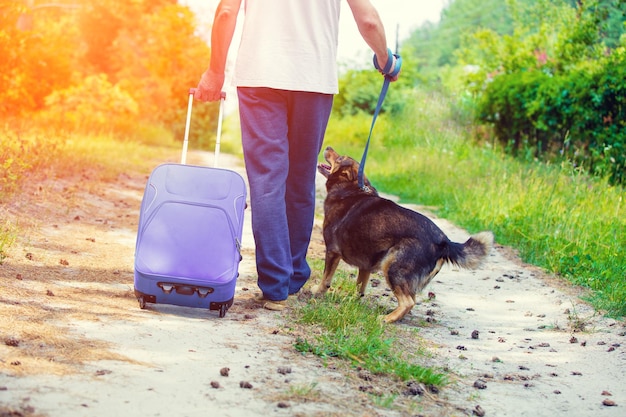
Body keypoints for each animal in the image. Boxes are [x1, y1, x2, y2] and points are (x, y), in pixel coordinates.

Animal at [316, 146, 492, 322]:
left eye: (340, 159)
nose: (328, 147)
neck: (350, 189)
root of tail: (444, 242)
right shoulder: (365, 265)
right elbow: (360, 287)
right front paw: (352, 301)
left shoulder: (332, 251)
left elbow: (326, 279)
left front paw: (316, 293)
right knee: (411, 299)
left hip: (392, 267)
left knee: (408, 302)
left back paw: (386, 319)